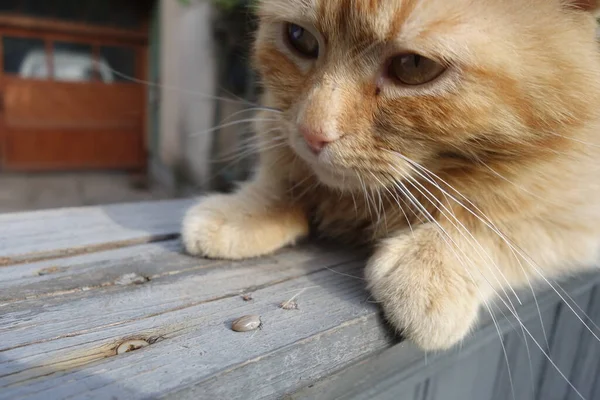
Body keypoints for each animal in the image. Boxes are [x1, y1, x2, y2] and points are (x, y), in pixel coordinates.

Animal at [180, 0, 600, 350]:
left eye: (413, 66)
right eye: (299, 38)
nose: (312, 134)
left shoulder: (579, 204)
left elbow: (506, 213)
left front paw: (431, 268)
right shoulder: (277, 128)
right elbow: (282, 178)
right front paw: (243, 212)